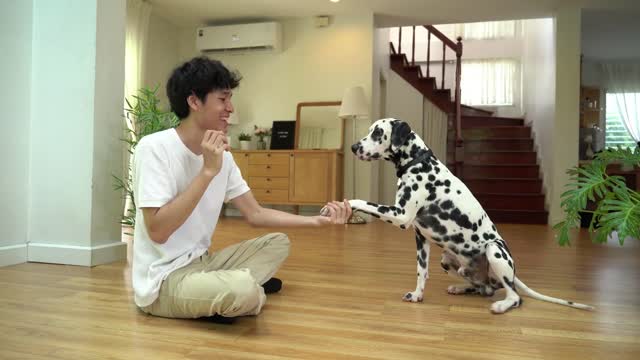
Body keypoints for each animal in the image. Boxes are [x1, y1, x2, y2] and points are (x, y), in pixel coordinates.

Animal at [338, 119, 592, 314]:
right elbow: (422, 271)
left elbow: (365, 202)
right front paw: (418, 295)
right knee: (484, 287)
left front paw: (348, 204)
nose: (353, 146)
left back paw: (501, 305)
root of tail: (513, 273)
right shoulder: (421, 238)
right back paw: (461, 288)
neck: (417, 163)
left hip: (494, 250)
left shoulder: (400, 215)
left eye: (377, 132)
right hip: (448, 260)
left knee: (515, 297)